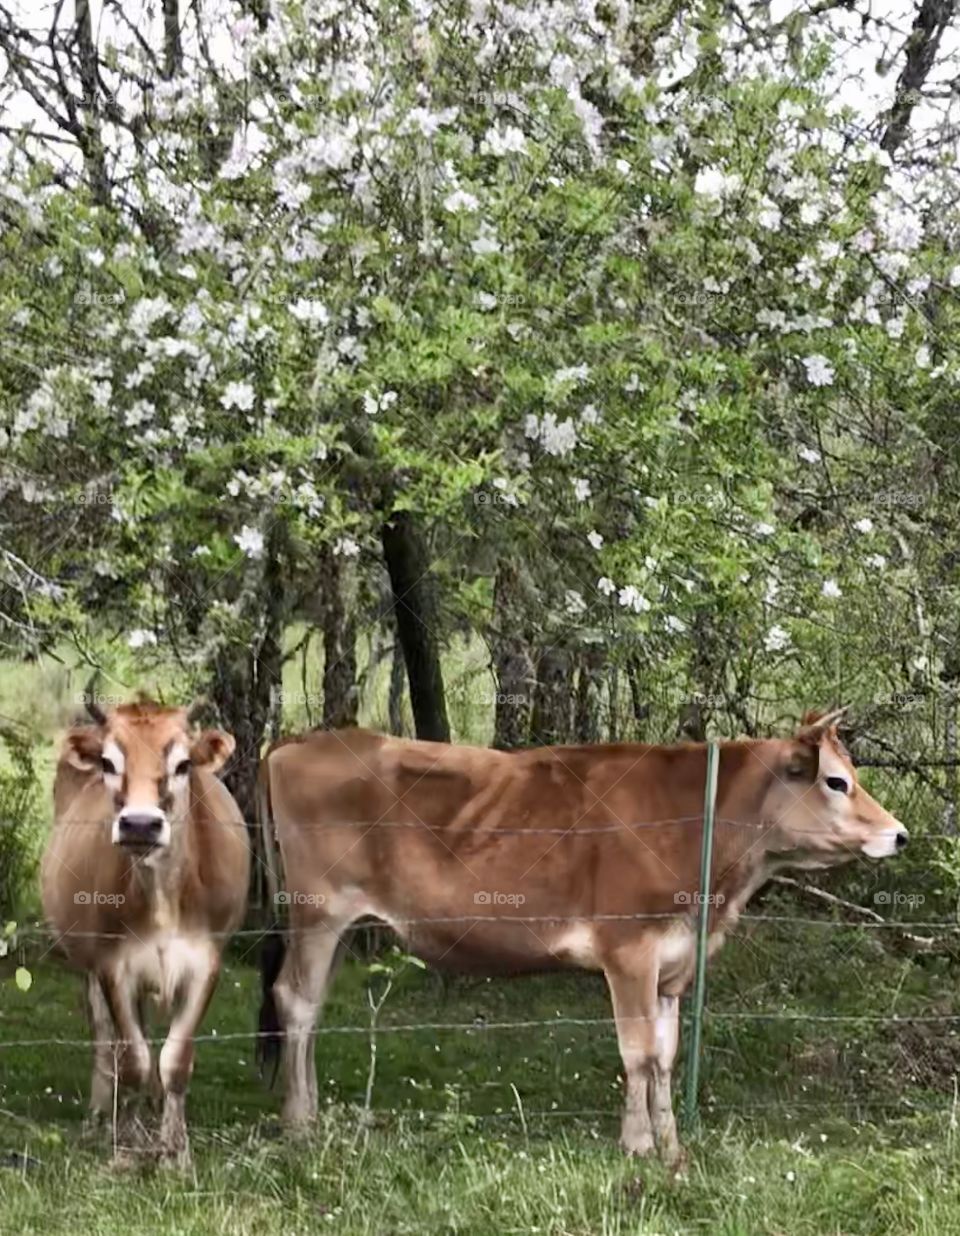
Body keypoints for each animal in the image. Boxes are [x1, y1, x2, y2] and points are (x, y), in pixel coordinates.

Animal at [41, 696, 249, 1168]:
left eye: (183, 764)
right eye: (108, 762)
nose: (139, 824)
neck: (162, 895)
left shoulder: (206, 963)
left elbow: (176, 1059)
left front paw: (175, 1151)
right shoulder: (112, 966)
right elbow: (133, 1058)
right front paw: (129, 1146)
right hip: (89, 968)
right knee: (105, 1039)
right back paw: (102, 1113)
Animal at [255, 709, 907, 1167]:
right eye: (836, 782)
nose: (899, 833)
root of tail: (297, 743)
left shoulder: (673, 964)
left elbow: (666, 1056)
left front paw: (671, 1146)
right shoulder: (630, 951)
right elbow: (639, 1053)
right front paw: (638, 1146)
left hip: (341, 924)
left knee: (310, 1008)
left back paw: (312, 1115)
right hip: (318, 913)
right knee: (296, 1002)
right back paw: (299, 1123)